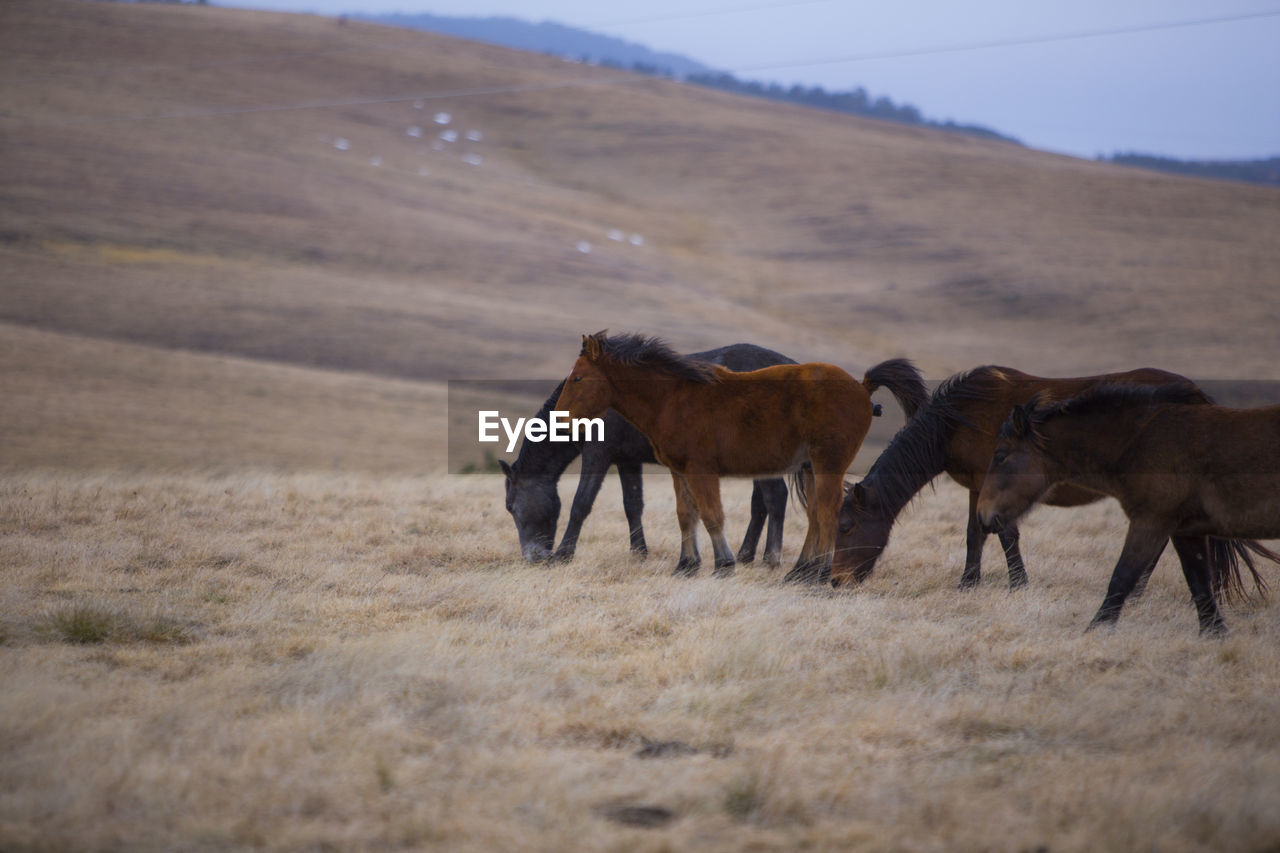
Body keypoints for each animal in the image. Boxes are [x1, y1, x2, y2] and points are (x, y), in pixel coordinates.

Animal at [501, 338, 793, 563]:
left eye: (511, 507)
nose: (533, 557)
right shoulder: (627, 461)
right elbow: (633, 504)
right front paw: (639, 551)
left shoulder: (597, 455)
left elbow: (581, 503)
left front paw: (564, 554)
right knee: (761, 503)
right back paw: (746, 554)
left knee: (774, 497)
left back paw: (769, 558)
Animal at [555, 333, 926, 578]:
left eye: (578, 377)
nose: (561, 421)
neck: (674, 399)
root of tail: (862, 387)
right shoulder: (678, 470)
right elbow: (686, 515)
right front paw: (686, 565)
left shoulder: (702, 469)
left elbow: (712, 515)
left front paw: (724, 564)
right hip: (810, 467)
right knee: (814, 515)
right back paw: (800, 571)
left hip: (827, 464)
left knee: (828, 511)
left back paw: (818, 574)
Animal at [829, 361, 1228, 589]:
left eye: (845, 527)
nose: (836, 581)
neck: (956, 421)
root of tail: (1196, 394)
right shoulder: (977, 487)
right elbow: (975, 535)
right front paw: (968, 584)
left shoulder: (992, 484)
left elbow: (1005, 535)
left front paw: (1017, 584)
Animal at [972, 381, 1274, 635]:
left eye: (1000, 456)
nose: (983, 515)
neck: (1139, 442)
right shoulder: (1185, 530)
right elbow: (1199, 581)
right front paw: (1214, 634)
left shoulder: (1150, 521)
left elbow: (1122, 577)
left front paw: (1095, 631)